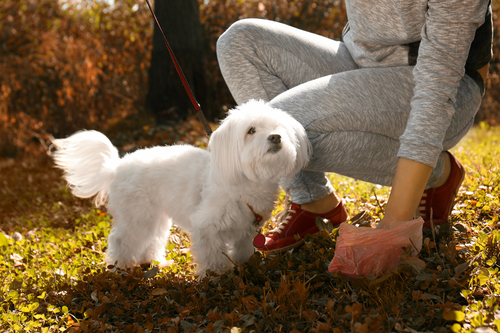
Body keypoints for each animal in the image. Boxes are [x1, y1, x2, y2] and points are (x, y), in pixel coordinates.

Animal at [50, 99, 308, 274]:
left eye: (279, 128)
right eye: (251, 130)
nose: (275, 137)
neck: (245, 183)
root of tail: (117, 166)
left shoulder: (247, 230)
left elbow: (243, 250)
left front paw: (243, 265)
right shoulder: (206, 227)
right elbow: (212, 255)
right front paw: (217, 275)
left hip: (155, 217)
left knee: (151, 240)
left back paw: (154, 262)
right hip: (137, 217)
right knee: (120, 240)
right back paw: (119, 267)